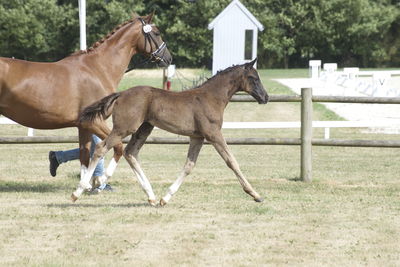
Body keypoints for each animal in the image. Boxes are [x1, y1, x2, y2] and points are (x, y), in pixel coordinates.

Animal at [75, 59, 268, 205]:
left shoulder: (197, 137)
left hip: (145, 128)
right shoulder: (213, 134)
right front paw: (255, 194)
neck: (211, 97)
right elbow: (231, 161)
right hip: (124, 128)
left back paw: (151, 196)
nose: (265, 97)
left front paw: (165, 198)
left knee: (130, 152)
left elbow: (189, 166)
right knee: (102, 148)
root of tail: (121, 94)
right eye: (253, 78)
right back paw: (78, 191)